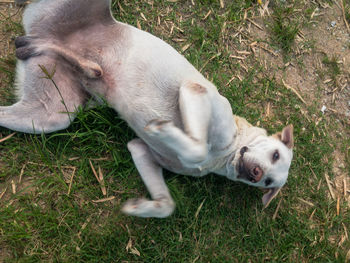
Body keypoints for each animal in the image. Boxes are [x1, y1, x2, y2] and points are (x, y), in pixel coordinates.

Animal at [0, 0, 292, 219]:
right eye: (276, 154)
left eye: (269, 183)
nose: (256, 174)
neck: (223, 156)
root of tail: (40, 31)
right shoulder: (194, 90)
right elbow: (196, 147)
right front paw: (163, 130)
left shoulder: (140, 150)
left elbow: (166, 205)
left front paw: (139, 207)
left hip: (50, 116)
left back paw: (59, 57)